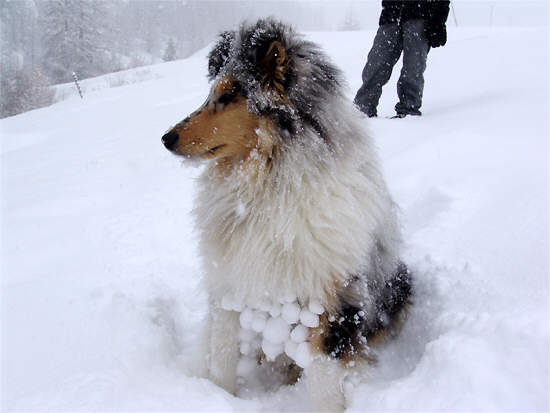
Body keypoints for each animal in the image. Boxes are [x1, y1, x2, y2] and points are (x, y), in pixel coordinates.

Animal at [162, 18, 412, 408]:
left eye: (230, 95)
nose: (166, 138)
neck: (267, 183)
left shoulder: (331, 296)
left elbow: (325, 378)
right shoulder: (229, 284)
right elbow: (222, 359)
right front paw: (217, 398)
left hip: (398, 284)